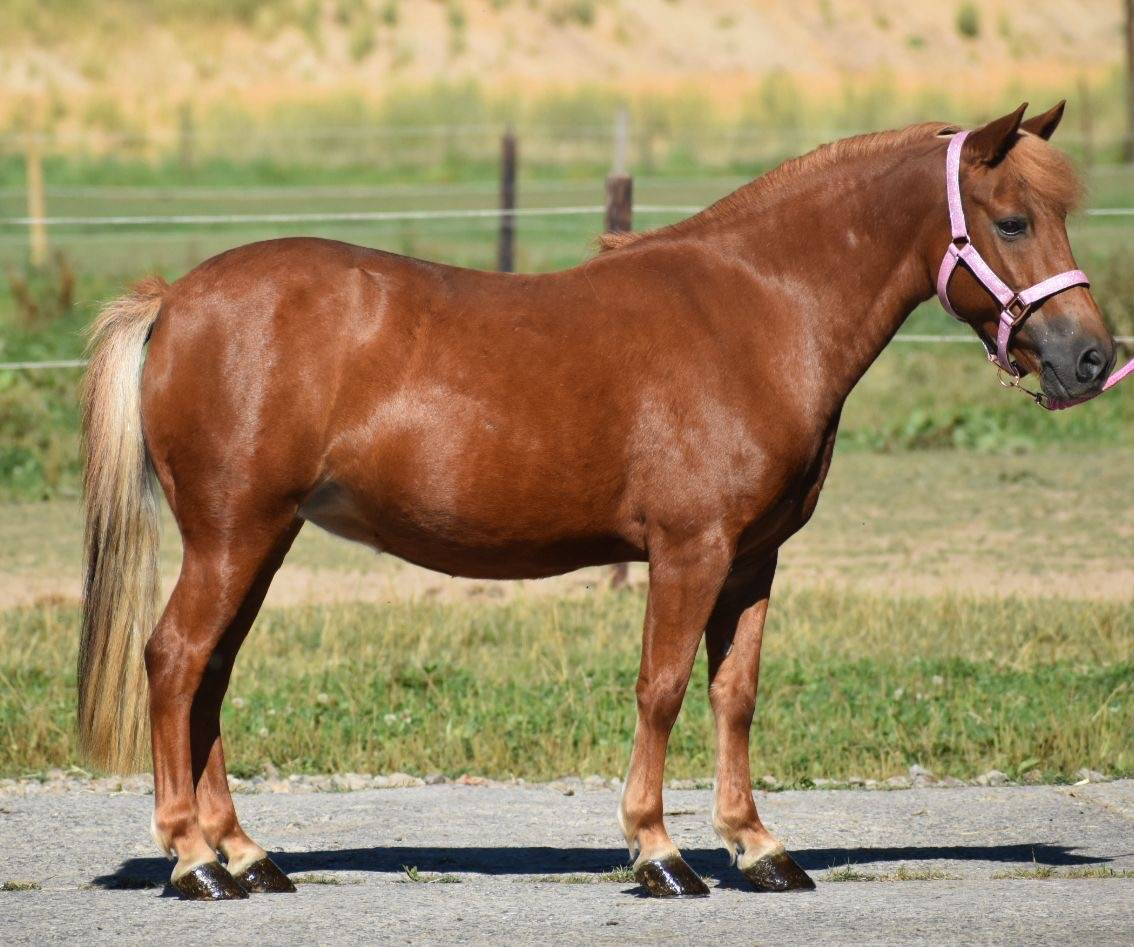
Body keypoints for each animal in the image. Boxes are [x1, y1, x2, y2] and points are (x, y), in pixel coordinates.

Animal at [78, 103, 1117, 900]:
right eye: (1011, 220)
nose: (1093, 358)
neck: (759, 311)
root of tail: (175, 299)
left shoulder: (754, 557)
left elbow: (734, 694)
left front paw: (758, 846)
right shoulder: (691, 550)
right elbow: (660, 689)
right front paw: (660, 853)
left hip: (261, 538)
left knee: (209, 673)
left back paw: (245, 856)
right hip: (233, 535)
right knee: (176, 661)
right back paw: (193, 860)